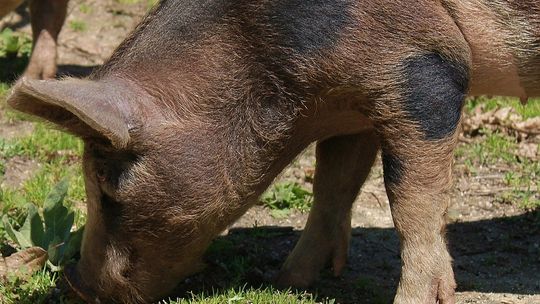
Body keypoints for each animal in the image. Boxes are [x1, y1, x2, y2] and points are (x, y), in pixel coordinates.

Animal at [5, 0, 540, 304]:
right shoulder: (353, 107)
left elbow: (411, 202)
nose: (76, 283)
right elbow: (332, 186)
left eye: (106, 183)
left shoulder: (425, 69)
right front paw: (288, 283)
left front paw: (413, 300)